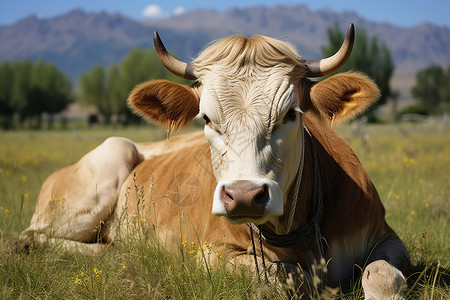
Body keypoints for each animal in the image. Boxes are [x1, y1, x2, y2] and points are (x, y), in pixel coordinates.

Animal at [22, 24, 412, 298]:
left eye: (290, 114)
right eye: (207, 118)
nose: (244, 195)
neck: (296, 233)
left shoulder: (385, 236)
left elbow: (383, 274)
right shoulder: (209, 254)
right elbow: (290, 275)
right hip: (100, 173)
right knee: (30, 237)